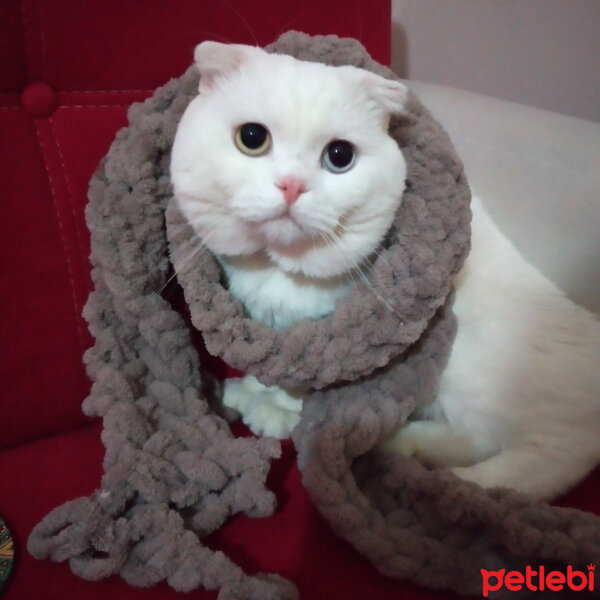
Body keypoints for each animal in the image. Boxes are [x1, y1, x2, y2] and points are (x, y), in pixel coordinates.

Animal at [170, 41, 600, 502]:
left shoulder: (338, 344)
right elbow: (273, 368)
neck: (280, 269)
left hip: (469, 361)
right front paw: (250, 389)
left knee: (548, 454)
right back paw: (401, 446)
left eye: (339, 157)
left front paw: (276, 411)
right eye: (252, 138)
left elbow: (303, 383)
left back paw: (458, 483)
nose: (291, 186)